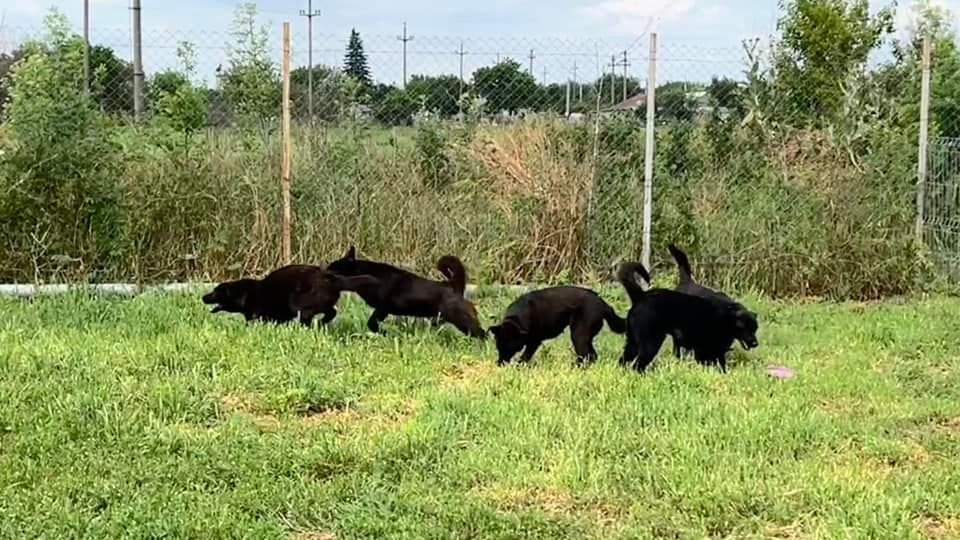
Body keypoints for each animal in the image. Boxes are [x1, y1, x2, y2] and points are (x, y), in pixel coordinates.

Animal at [202, 265, 376, 326]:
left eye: (215, 292)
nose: (203, 297)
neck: (243, 293)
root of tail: (332, 278)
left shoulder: (255, 317)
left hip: (298, 303)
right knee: (331, 312)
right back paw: (321, 323)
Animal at [325, 247, 485, 338]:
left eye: (333, 267)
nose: (324, 270)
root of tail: (452, 285)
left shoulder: (381, 307)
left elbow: (371, 322)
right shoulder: (382, 310)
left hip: (461, 319)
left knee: (481, 333)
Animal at [488, 287, 626, 366]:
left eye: (511, 347)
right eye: (498, 347)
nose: (500, 364)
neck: (516, 319)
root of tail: (603, 304)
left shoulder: (534, 342)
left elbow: (525, 356)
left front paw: (519, 366)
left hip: (578, 334)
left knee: (585, 355)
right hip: (584, 336)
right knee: (592, 356)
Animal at [617, 262, 758, 373]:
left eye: (755, 328)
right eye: (744, 327)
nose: (755, 343)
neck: (727, 318)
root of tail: (640, 296)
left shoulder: (712, 351)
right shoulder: (707, 350)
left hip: (633, 342)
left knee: (623, 361)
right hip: (650, 342)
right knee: (638, 365)